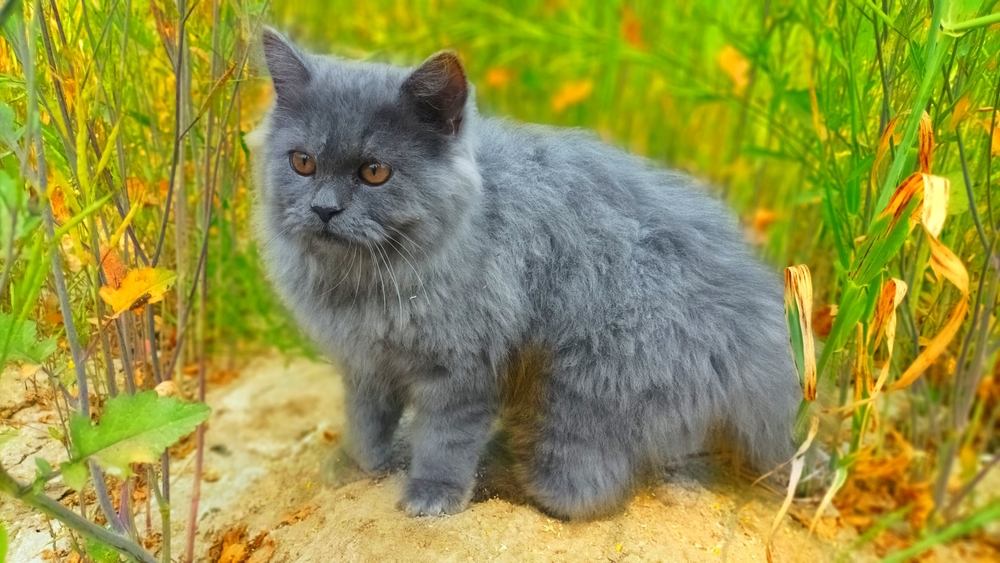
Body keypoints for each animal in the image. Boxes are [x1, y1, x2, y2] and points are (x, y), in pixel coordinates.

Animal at [252, 29, 804, 520]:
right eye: (303, 163)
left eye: (374, 172)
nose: (324, 209)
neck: (366, 281)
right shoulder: (365, 363)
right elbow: (367, 423)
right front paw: (363, 465)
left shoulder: (464, 368)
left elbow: (445, 440)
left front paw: (433, 493)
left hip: (588, 384)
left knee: (584, 490)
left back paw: (505, 480)